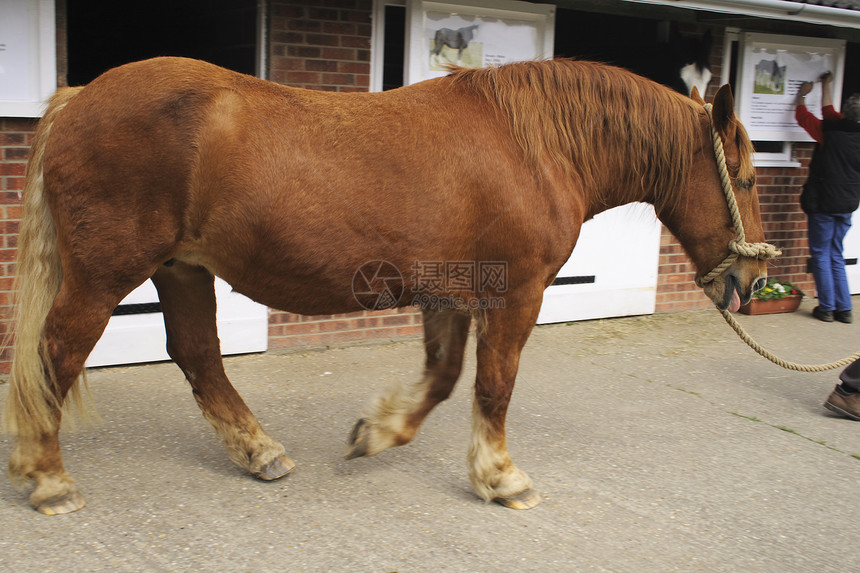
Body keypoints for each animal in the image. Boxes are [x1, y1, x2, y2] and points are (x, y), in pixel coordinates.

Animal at [3, 57, 768, 512]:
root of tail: (79, 97)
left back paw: (261, 453)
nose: (753, 278)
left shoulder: (449, 294)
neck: (535, 146)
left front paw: (375, 432)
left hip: (182, 269)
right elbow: (494, 384)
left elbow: (444, 379)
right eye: (747, 178)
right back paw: (48, 478)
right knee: (56, 355)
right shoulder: (515, 294)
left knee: (197, 356)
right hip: (107, 274)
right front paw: (501, 477)